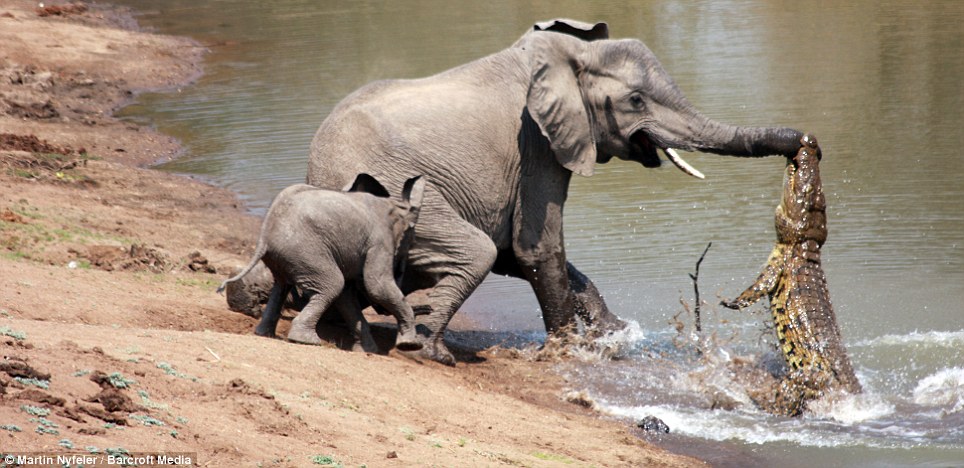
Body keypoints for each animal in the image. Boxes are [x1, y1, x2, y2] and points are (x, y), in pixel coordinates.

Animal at [222, 175, 430, 352]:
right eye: (410, 242)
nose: (428, 309)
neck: (396, 205)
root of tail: (265, 233)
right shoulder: (379, 241)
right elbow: (376, 286)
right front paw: (410, 345)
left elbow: (347, 296)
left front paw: (368, 351)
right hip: (305, 250)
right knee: (332, 284)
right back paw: (306, 341)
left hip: (287, 255)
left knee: (281, 286)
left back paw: (265, 334)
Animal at [306, 19, 800, 366]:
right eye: (636, 101)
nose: (804, 143)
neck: (567, 56)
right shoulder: (537, 144)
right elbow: (535, 247)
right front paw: (570, 351)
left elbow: (519, 253)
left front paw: (615, 335)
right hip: (393, 194)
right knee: (476, 251)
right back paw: (433, 353)